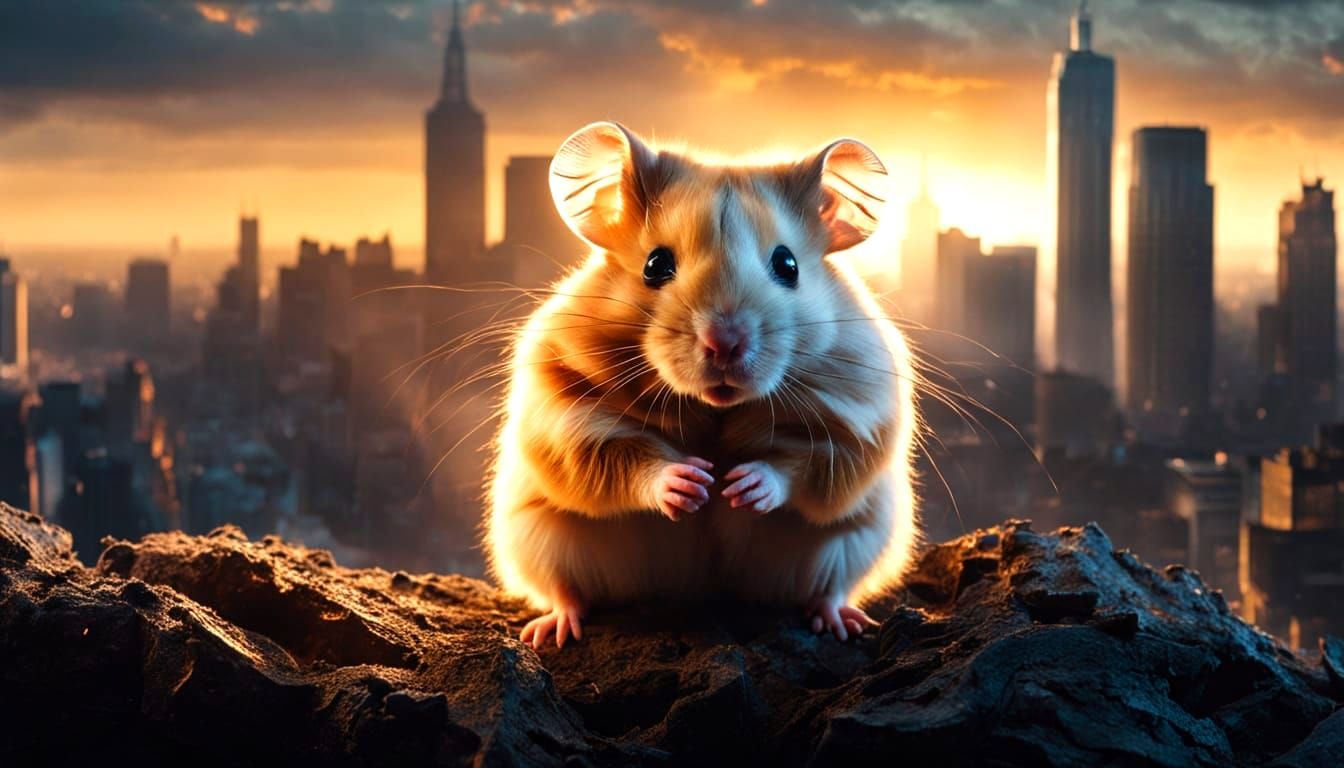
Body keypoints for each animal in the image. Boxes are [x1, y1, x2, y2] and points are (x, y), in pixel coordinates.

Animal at [487, 121, 919, 649]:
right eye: (655, 265)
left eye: (788, 265)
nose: (725, 343)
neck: (716, 409)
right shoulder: (563, 406)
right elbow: (620, 455)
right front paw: (690, 485)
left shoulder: (859, 416)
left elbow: (802, 463)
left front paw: (742, 486)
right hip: (537, 537)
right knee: (564, 586)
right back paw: (555, 629)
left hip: (857, 543)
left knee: (830, 586)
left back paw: (840, 621)